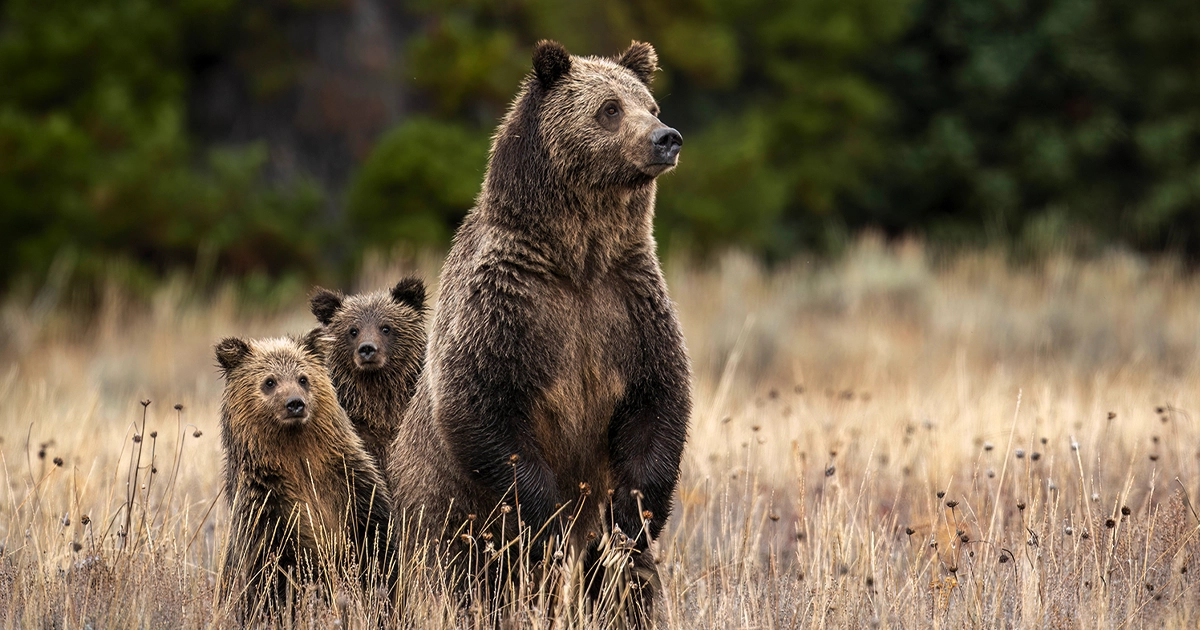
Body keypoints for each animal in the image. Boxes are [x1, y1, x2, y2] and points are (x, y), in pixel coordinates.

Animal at [216, 333, 393, 619]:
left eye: (303, 378)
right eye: (269, 381)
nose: (295, 404)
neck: (298, 459)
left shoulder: (351, 486)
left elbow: (377, 544)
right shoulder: (267, 506)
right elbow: (274, 572)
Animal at [391, 40, 696, 619]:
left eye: (651, 105)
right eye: (609, 109)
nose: (667, 138)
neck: (577, 258)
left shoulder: (629, 305)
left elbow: (658, 402)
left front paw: (631, 520)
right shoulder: (508, 305)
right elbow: (481, 403)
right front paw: (549, 522)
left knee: (628, 587)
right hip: (440, 518)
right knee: (462, 577)